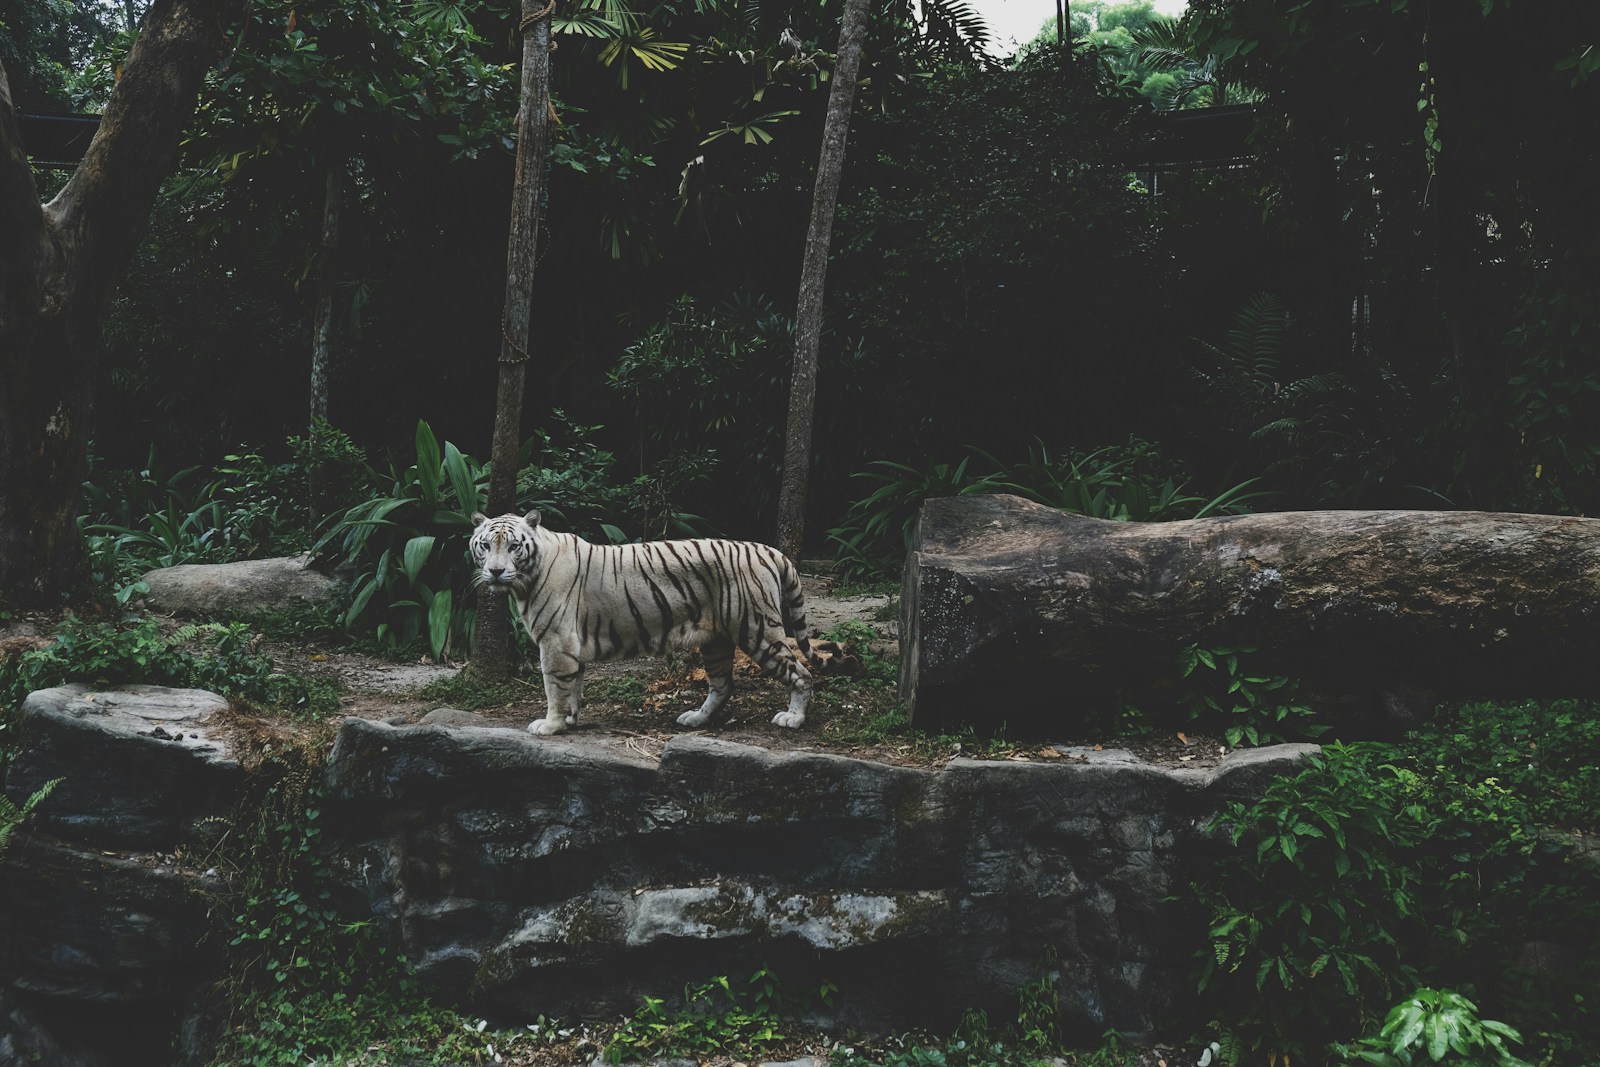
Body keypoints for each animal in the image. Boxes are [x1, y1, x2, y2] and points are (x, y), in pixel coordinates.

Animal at [469, 511, 815, 736]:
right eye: (485, 545)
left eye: (514, 546)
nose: (495, 572)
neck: (526, 579)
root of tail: (769, 550)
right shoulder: (571, 645)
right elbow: (574, 686)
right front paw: (569, 721)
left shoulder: (556, 642)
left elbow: (555, 687)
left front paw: (549, 725)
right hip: (716, 641)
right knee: (723, 685)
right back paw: (695, 719)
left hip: (758, 629)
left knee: (801, 673)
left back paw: (793, 719)